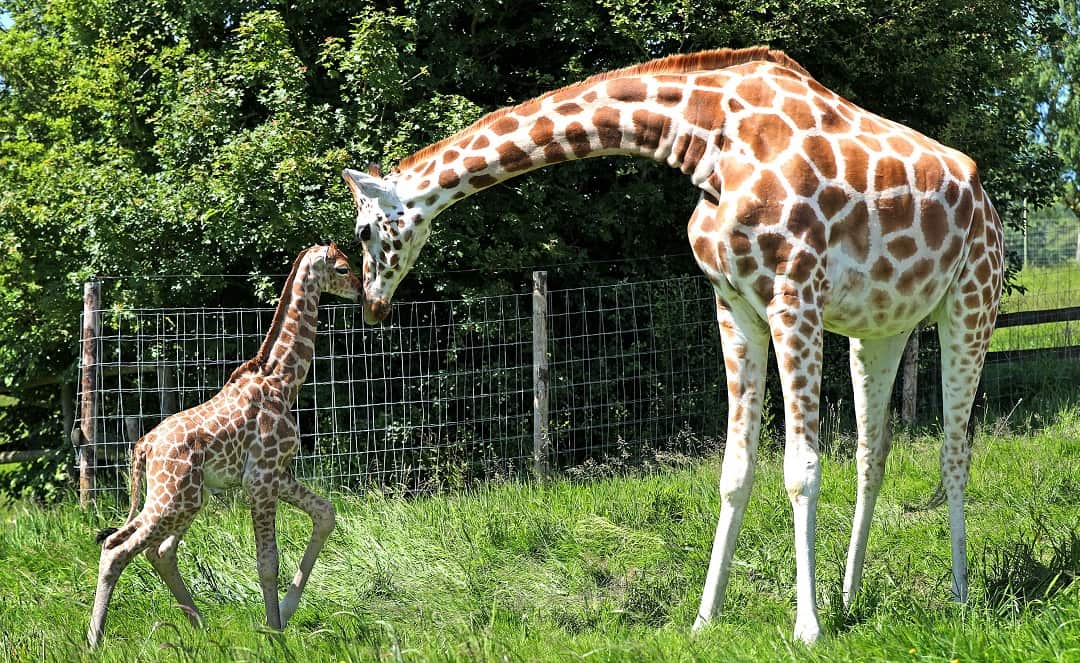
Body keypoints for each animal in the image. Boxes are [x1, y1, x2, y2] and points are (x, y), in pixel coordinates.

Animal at [88, 243, 361, 648]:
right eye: (343, 268)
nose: (361, 291)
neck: (283, 382)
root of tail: (145, 446)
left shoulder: (277, 474)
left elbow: (325, 514)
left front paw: (286, 611)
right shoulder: (260, 479)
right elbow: (268, 561)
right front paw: (274, 632)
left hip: (183, 498)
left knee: (158, 550)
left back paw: (200, 625)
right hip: (175, 499)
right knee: (117, 549)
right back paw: (94, 639)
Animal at [342, 47, 1003, 643]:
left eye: (363, 230)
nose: (373, 305)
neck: (709, 141)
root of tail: (985, 199)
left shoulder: (795, 297)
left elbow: (801, 469)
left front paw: (807, 628)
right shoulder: (734, 305)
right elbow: (735, 469)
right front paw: (705, 619)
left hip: (972, 301)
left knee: (955, 449)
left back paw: (959, 596)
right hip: (881, 328)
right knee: (875, 452)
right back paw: (850, 595)